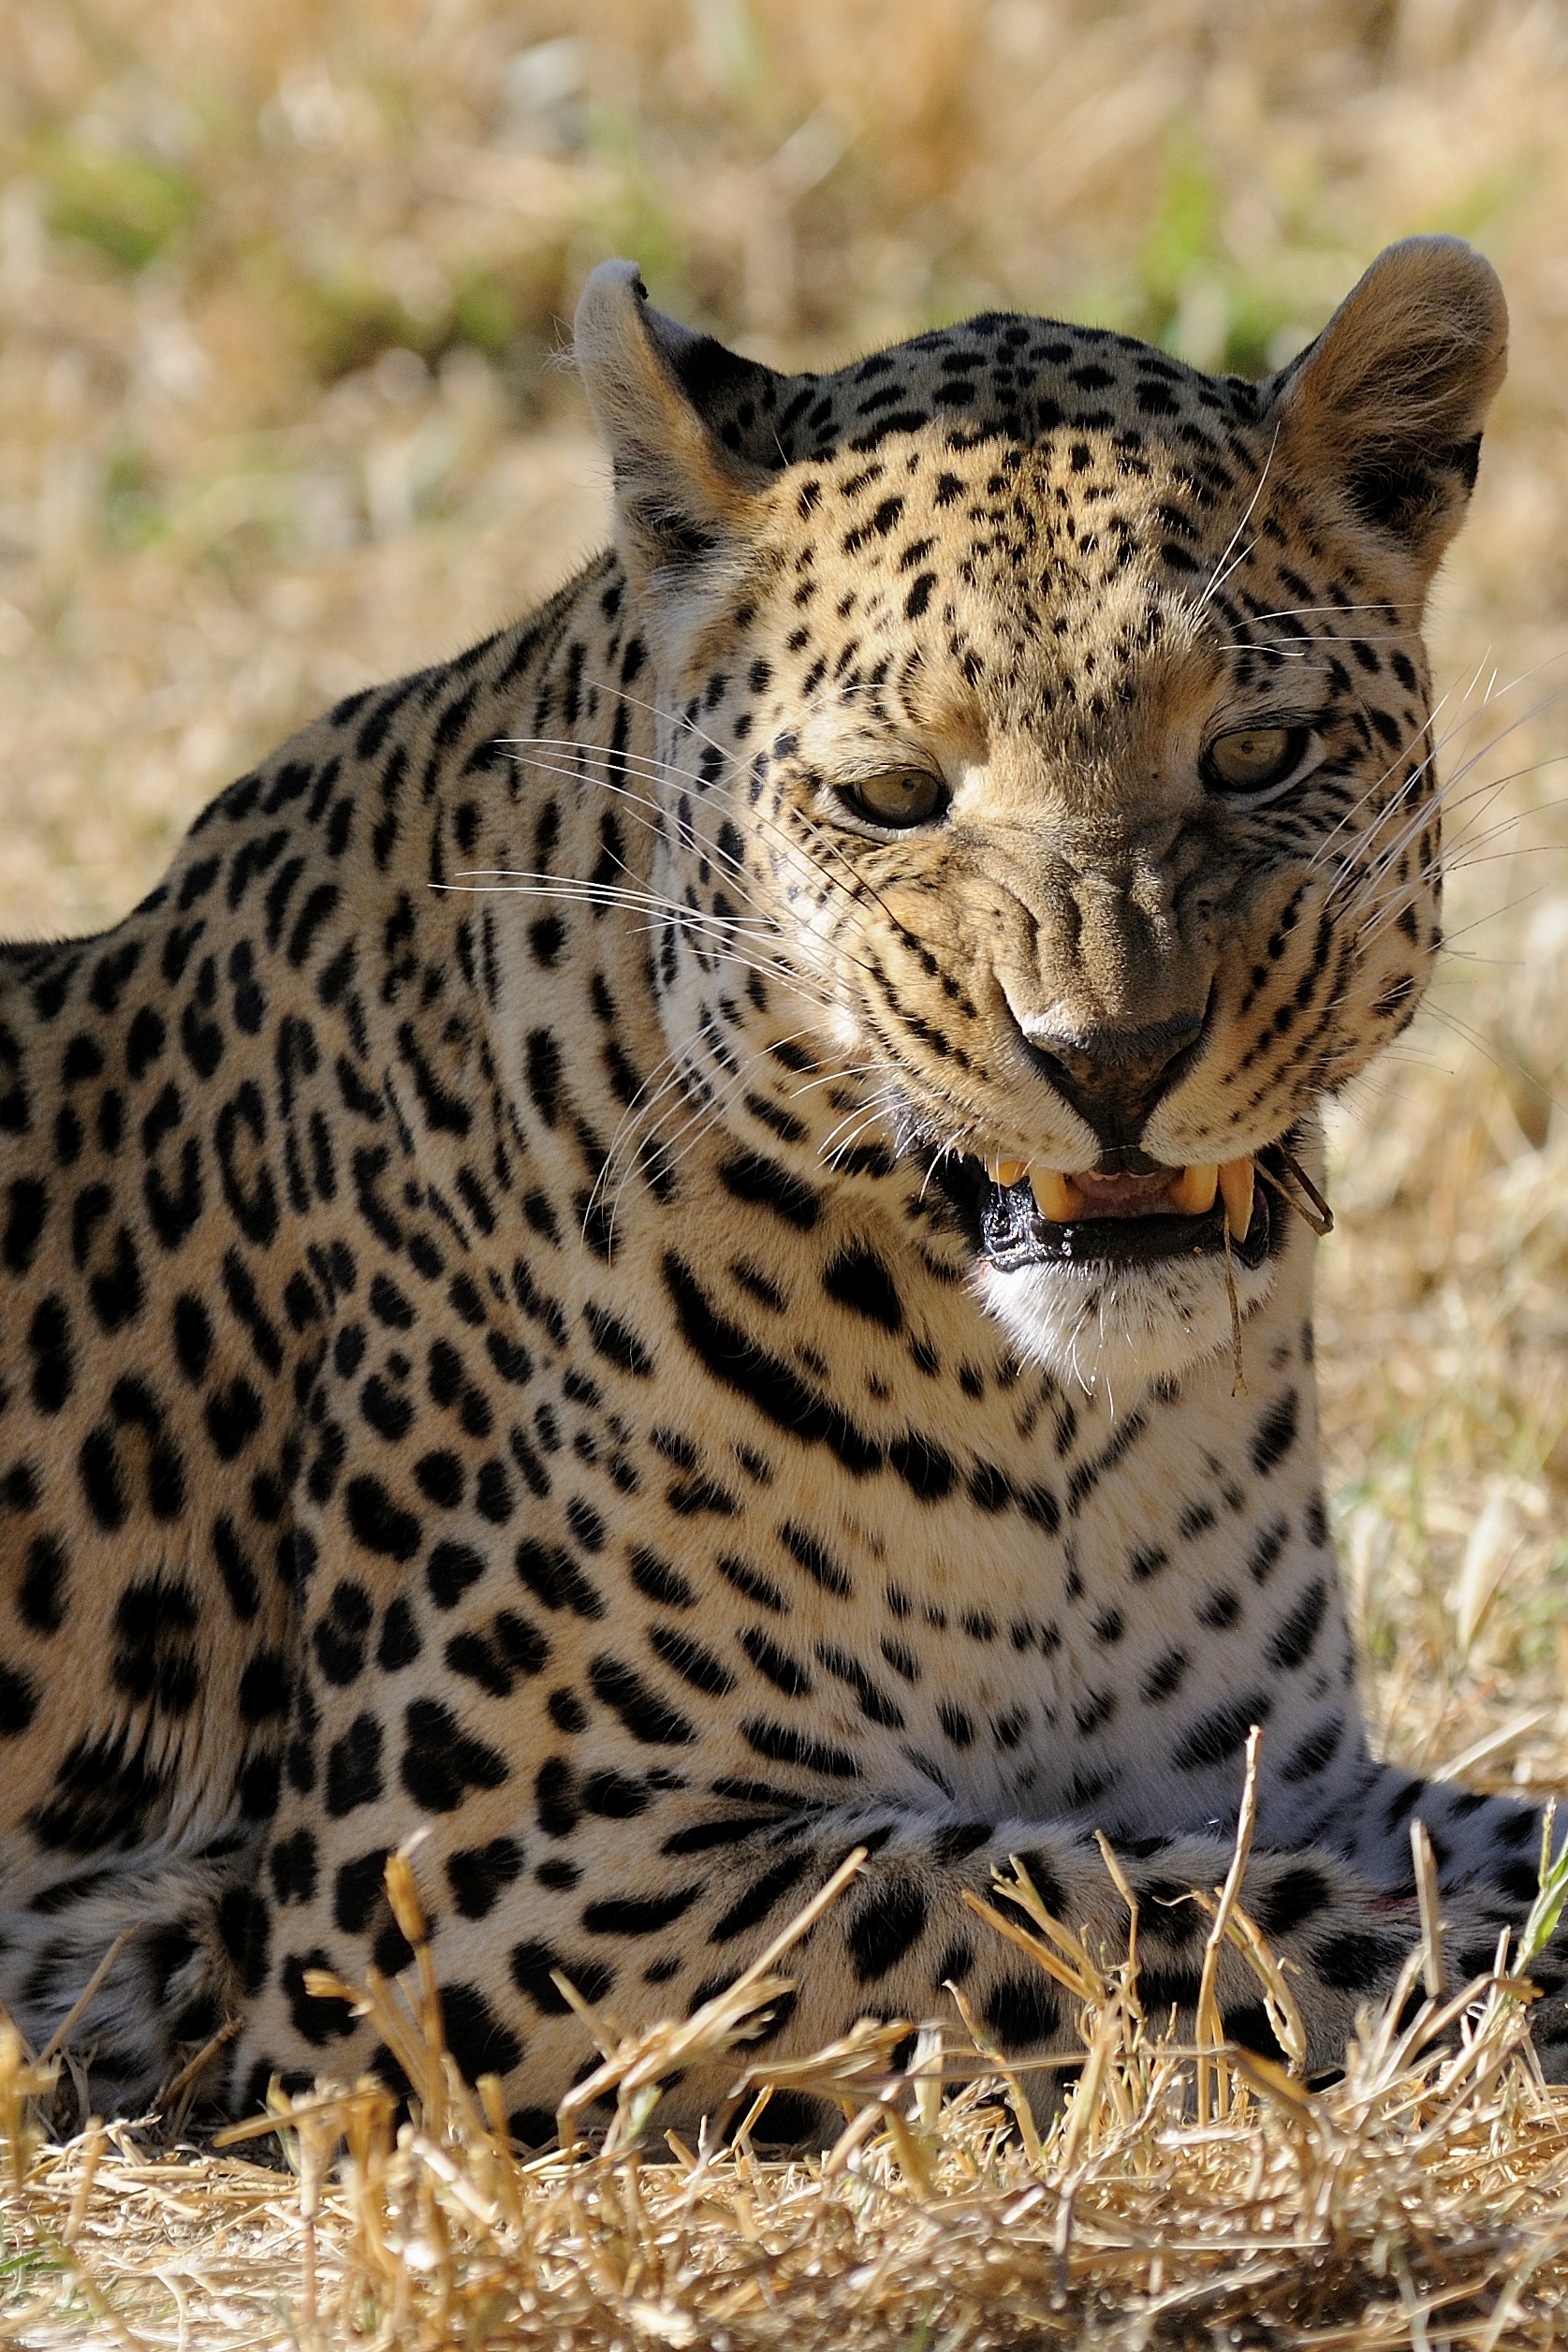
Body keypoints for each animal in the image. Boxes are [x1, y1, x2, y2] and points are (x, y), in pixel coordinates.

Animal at [2, 232, 1562, 2146]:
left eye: (1257, 753)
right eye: (889, 795)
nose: (1112, 1056)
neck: (1059, 1433)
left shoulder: (1278, 1768)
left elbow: (1468, 1844)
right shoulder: (488, 1884)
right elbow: (1136, 1909)